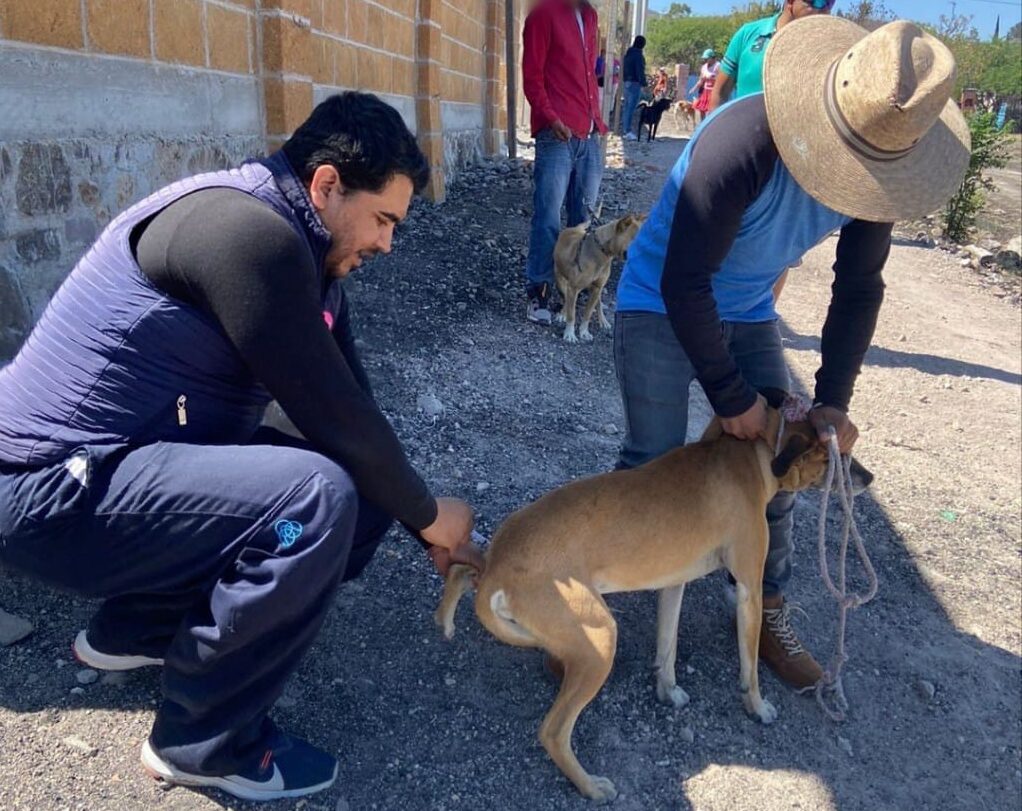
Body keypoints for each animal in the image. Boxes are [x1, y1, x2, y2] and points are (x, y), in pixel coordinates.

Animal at [435, 408, 866, 800]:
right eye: (837, 460)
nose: (870, 478)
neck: (751, 451)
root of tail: (498, 569)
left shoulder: (674, 584)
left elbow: (667, 646)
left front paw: (668, 690)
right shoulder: (750, 589)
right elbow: (750, 667)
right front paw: (757, 707)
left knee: (461, 571)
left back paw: (448, 612)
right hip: (601, 638)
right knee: (553, 732)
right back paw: (590, 786)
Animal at [555, 213, 641, 343]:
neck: (602, 252)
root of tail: (574, 228)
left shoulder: (597, 288)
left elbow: (588, 313)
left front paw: (584, 332)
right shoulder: (573, 288)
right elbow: (571, 313)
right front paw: (569, 333)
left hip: (597, 290)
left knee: (598, 303)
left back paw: (603, 321)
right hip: (561, 280)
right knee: (567, 299)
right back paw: (563, 313)